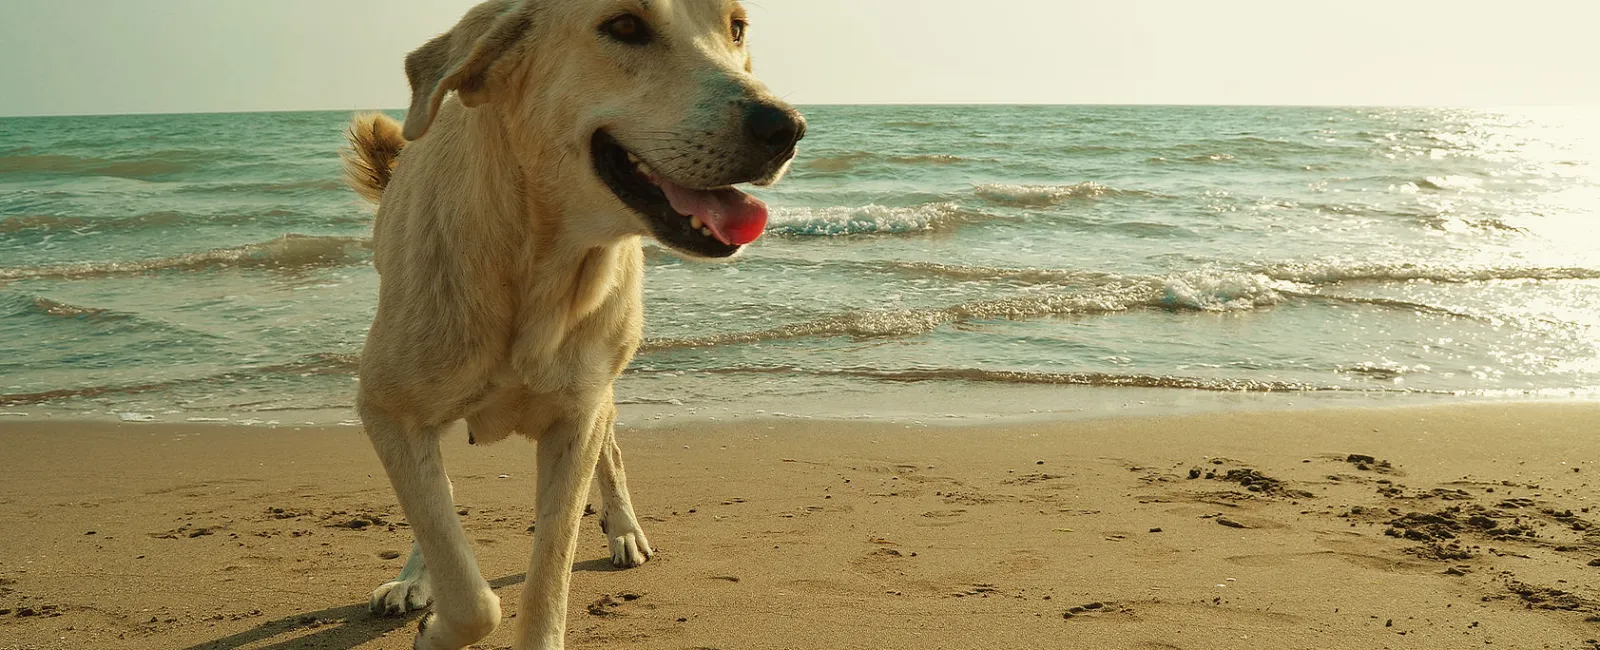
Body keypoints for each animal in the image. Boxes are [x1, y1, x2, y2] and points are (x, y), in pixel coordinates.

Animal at [344, 2, 806, 646]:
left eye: (736, 28)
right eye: (625, 26)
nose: (785, 128)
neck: (539, 268)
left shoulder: (576, 419)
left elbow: (550, 568)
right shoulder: (388, 409)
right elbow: (460, 570)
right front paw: (434, 620)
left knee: (610, 451)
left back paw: (625, 529)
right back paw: (416, 577)